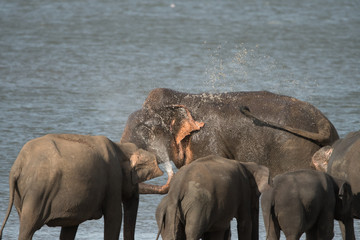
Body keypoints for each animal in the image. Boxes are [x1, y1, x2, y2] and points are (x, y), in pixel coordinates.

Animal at [0, 134, 162, 239]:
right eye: (136, 181)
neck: (120, 146)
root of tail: (18, 164)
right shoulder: (113, 179)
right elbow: (114, 217)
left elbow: (71, 226)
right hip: (37, 192)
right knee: (28, 227)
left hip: (21, 195)